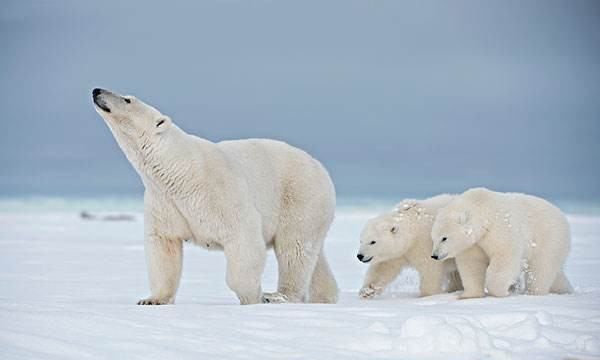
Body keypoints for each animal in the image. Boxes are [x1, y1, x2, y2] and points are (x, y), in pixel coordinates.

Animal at [92, 87, 338, 304]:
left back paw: (279, 295)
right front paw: (152, 299)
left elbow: (243, 238)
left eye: (127, 99)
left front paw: (254, 297)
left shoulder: (219, 192)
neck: (179, 170)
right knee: (313, 255)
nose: (97, 90)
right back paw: (325, 296)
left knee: (294, 249)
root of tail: (320, 168)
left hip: (300, 196)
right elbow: (163, 246)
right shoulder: (164, 202)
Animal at [432, 187, 572, 300]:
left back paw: (533, 292)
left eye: (444, 238)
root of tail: (561, 215)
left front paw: (502, 292)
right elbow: (472, 265)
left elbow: (504, 258)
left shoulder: (501, 229)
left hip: (548, 238)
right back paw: (565, 289)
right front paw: (468, 295)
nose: (434, 255)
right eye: (433, 238)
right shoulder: (474, 244)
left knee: (541, 268)